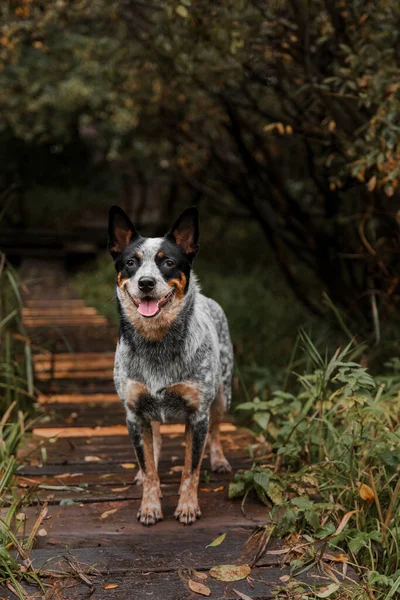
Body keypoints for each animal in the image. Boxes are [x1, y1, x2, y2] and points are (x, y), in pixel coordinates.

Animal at [108, 205, 234, 524]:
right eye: (131, 262)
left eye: (168, 263)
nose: (146, 283)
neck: (157, 344)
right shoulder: (134, 413)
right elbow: (149, 466)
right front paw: (149, 506)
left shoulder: (198, 414)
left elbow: (191, 469)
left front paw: (188, 506)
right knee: (154, 441)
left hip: (223, 395)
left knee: (216, 431)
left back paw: (218, 459)